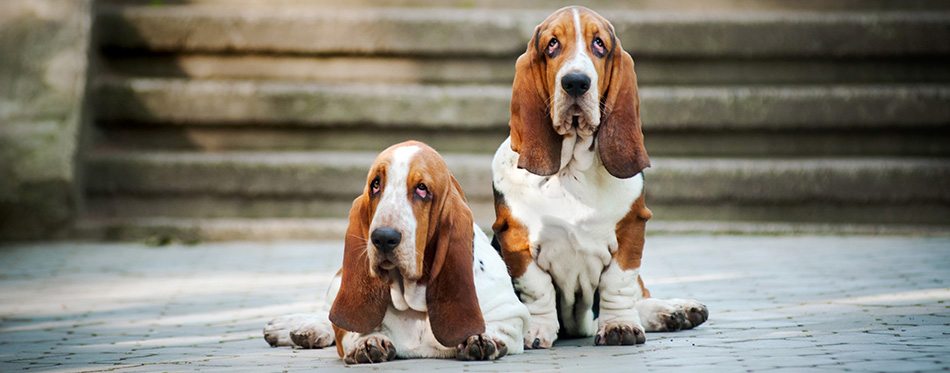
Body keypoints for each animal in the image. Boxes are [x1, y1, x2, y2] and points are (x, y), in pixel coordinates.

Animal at [266, 141, 528, 362]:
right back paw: (299, 329)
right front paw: (368, 340)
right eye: (375, 185)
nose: (383, 238)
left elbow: (496, 327)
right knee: (326, 314)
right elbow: (350, 328)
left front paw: (481, 337)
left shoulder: (512, 315)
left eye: (422, 189)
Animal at [494, 6, 712, 348]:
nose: (575, 83)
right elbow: (538, 289)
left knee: (639, 293)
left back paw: (676, 309)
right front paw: (537, 330)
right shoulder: (516, 240)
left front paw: (619, 325)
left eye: (599, 44)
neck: (571, 168)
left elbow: (618, 283)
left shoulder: (631, 229)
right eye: (552, 45)